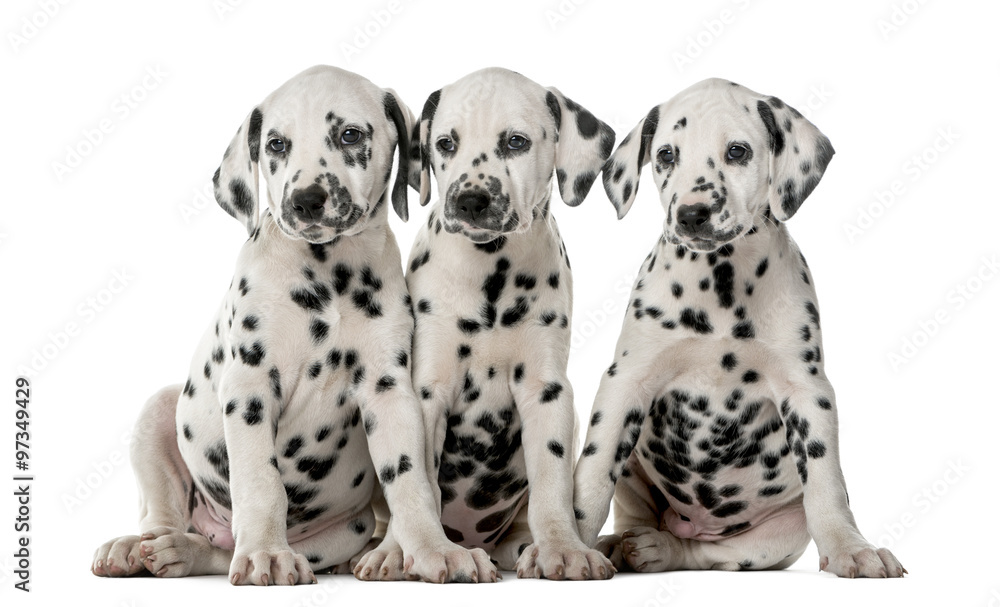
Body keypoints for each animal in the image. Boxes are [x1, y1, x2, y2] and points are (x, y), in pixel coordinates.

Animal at [572, 81, 908, 580]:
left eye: (737, 151)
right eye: (666, 154)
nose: (692, 214)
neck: (721, 282)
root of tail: (694, 525)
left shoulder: (807, 390)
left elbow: (826, 484)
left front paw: (851, 548)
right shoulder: (625, 384)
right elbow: (592, 477)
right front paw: (567, 545)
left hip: (775, 534)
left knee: (705, 555)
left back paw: (658, 548)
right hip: (633, 463)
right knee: (635, 512)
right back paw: (626, 543)